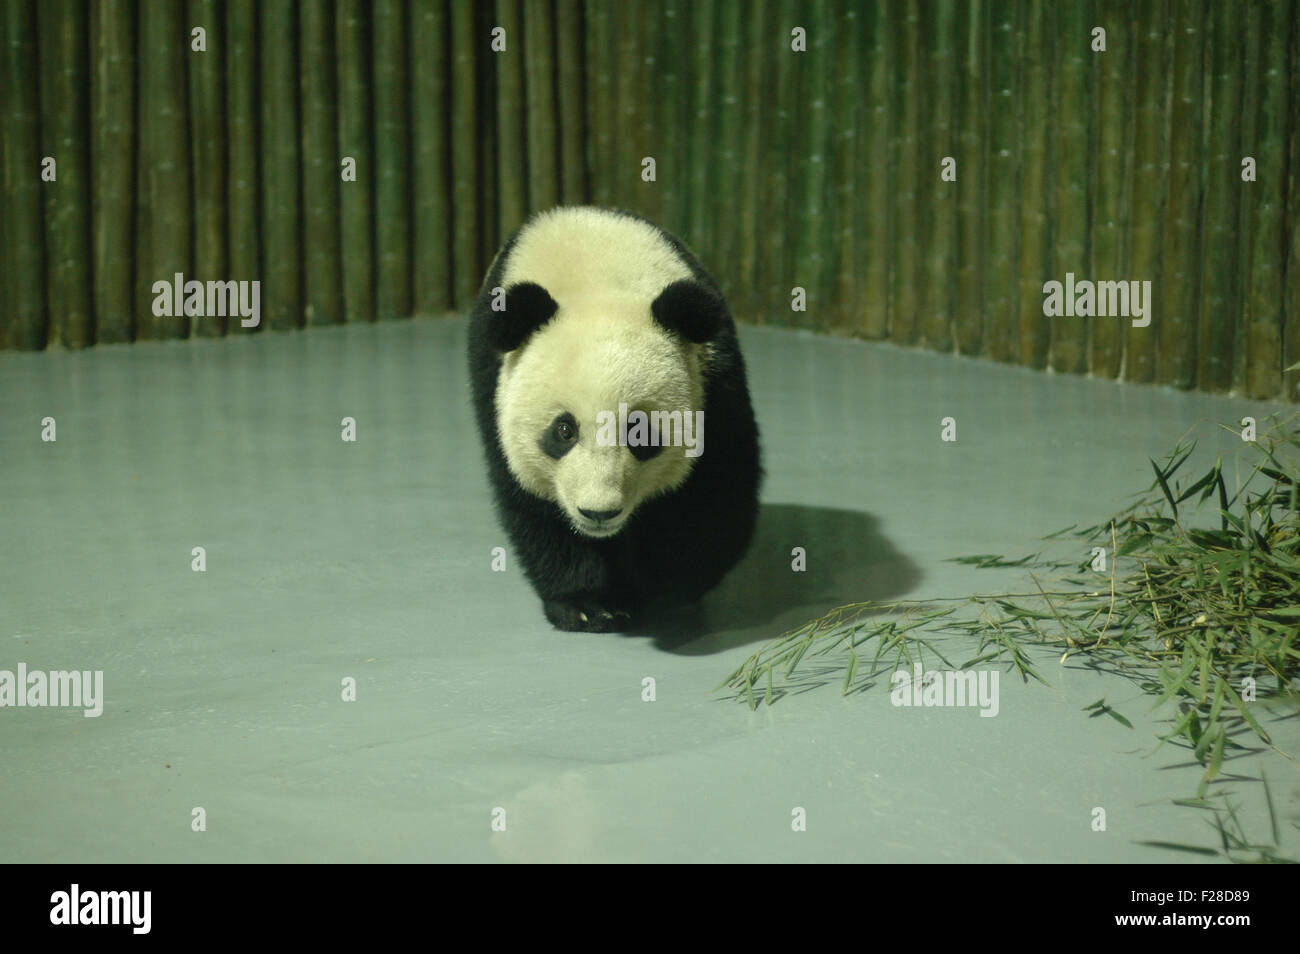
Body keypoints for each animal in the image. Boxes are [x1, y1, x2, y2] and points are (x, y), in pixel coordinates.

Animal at [467, 205, 759, 631]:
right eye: (564, 430)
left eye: (640, 433)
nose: (598, 513)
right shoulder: (496, 389)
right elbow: (535, 506)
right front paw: (588, 604)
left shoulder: (713, 381)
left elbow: (712, 494)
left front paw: (660, 588)